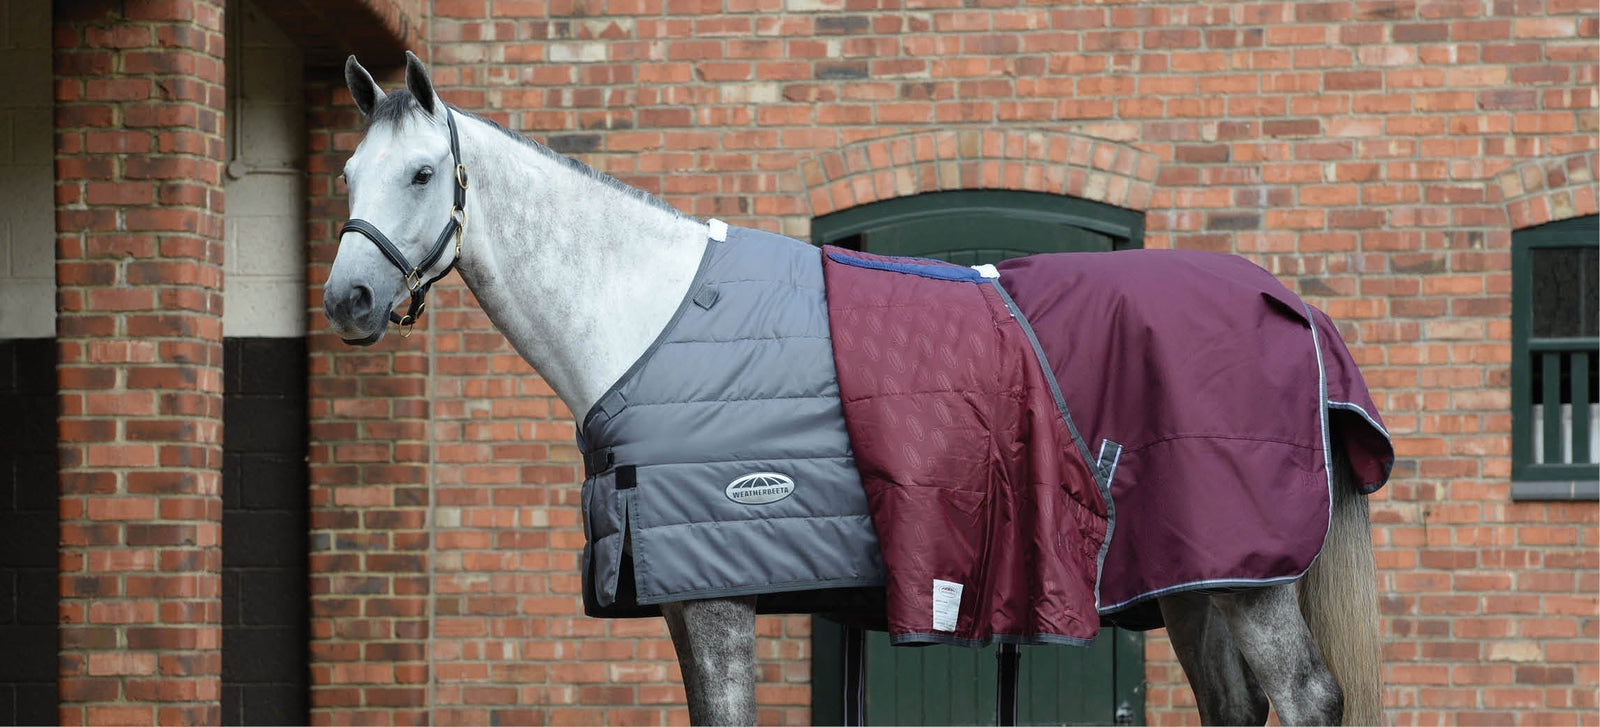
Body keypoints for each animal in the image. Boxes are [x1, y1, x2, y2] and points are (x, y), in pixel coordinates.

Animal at [322, 52, 1384, 726]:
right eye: (347, 172)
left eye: (423, 173)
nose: (348, 299)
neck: (649, 318)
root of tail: (1291, 305)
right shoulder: (682, 594)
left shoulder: (717, 597)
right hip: (1193, 580)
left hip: (1247, 580)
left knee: (1307, 697)